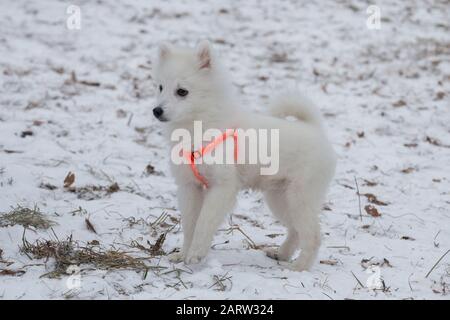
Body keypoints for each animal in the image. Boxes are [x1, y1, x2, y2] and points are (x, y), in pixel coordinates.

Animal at [153, 40, 336, 270]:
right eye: (160, 87)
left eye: (182, 91)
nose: (156, 111)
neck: (201, 124)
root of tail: (315, 129)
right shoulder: (189, 187)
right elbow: (189, 225)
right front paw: (183, 254)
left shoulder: (221, 188)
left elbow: (203, 223)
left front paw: (196, 254)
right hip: (279, 198)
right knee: (295, 231)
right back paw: (281, 254)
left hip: (300, 197)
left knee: (312, 235)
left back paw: (298, 267)